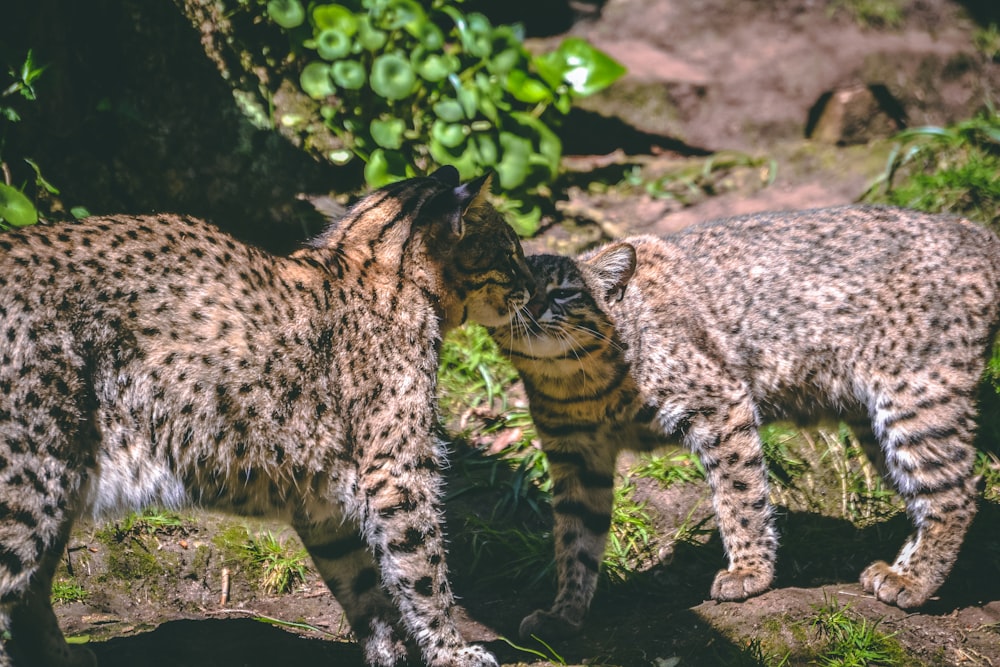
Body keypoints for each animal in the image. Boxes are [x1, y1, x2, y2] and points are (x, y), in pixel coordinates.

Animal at [0, 167, 536, 667]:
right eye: (511, 255)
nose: (532, 289)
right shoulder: (397, 474)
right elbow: (424, 575)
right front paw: (453, 652)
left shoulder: (329, 501)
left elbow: (367, 590)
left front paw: (393, 656)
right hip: (31, 476)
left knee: (30, 589)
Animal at [488, 205, 996, 640]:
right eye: (512, 289)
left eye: (563, 291)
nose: (530, 309)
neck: (575, 380)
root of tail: (973, 230)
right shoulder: (575, 454)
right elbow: (574, 537)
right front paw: (565, 613)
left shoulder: (722, 404)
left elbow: (739, 494)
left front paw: (749, 572)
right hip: (876, 419)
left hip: (915, 393)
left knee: (957, 492)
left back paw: (910, 581)